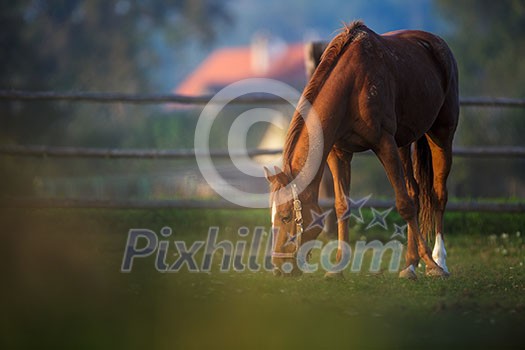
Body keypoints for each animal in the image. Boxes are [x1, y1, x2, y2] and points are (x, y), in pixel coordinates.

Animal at [264, 21, 456, 278]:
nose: (278, 266)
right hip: (404, 145)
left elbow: (404, 205)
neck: (352, 85)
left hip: (442, 134)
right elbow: (342, 206)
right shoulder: (338, 154)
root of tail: (436, 44)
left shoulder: (384, 144)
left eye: (285, 216)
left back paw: (439, 260)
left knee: (438, 195)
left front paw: (433, 265)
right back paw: (409, 265)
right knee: (415, 193)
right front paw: (337, 268)